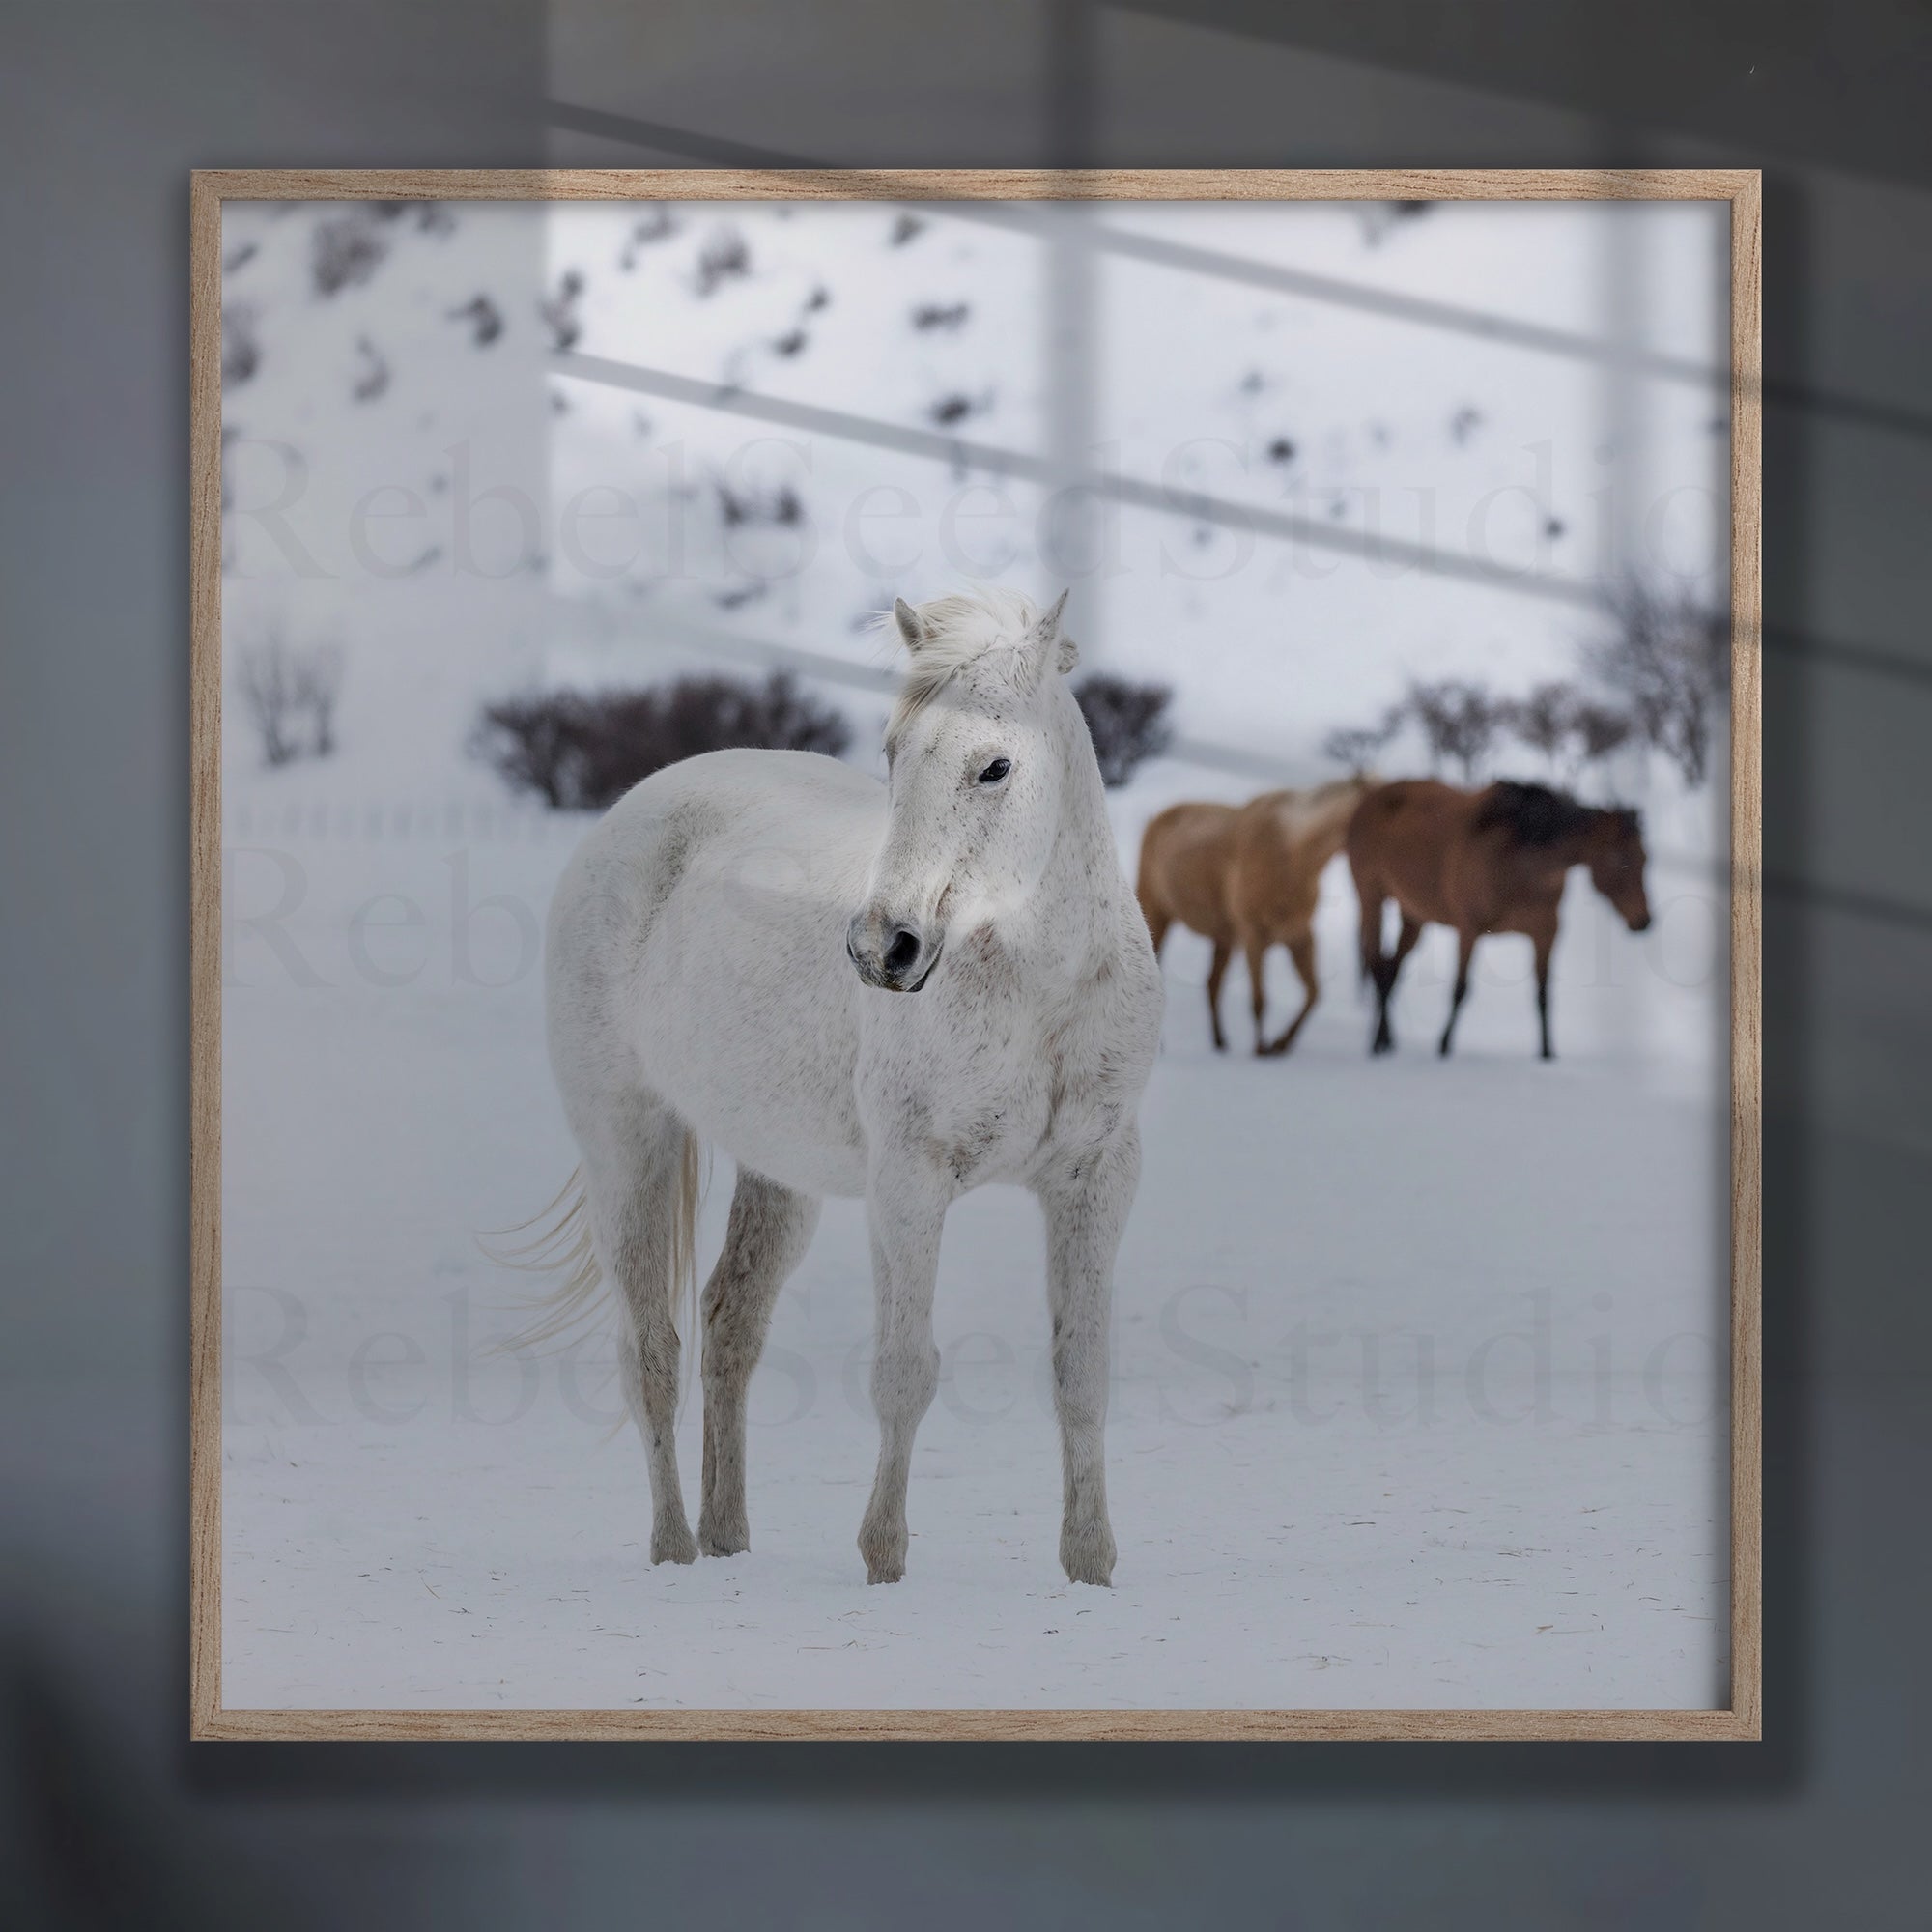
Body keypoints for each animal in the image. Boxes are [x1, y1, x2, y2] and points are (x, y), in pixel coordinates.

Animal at [537, 587, 1163, 1588]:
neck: (1036, 986)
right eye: (896, 754)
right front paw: (883, 1563)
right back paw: (674, 1551)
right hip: (627, 1141)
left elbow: (1081, 1374)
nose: (884, 949)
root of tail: (633, 810)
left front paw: (1090, 1568)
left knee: (730, 1323)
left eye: (995, 766)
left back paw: (728, 1538)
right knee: (652, 1355)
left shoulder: (1096, 1179)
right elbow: (904, 1373)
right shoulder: (908, 1185)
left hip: (777, 1173)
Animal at [1136, 774, 1378, 1055]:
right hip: (1156, 914)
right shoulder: (1255, 938)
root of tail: (1156, 819)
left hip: (1223, 937)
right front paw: (1261, 1049)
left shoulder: (1300, 937)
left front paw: (1282, 1043)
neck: (1291, 857)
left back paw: (1220, 1042)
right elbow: (1259, 1001)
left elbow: (1314, 993)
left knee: (1213, 983)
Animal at [1345, 777, 1652, 1061]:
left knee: (1391, 970)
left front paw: (1547, 1055)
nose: (1645, 920)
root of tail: (1367, 799)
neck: (1518, 863)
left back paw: (1386, 1040)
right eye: (1619, 858)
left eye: (1645, 858)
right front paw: (1443, 1048)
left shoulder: (1546, 933)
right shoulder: (1469, 929)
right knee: (1376, 964)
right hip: (1371, 898)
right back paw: (1377, 1044)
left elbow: (1543, 995)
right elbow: (1460, 989)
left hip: (1413, 915)